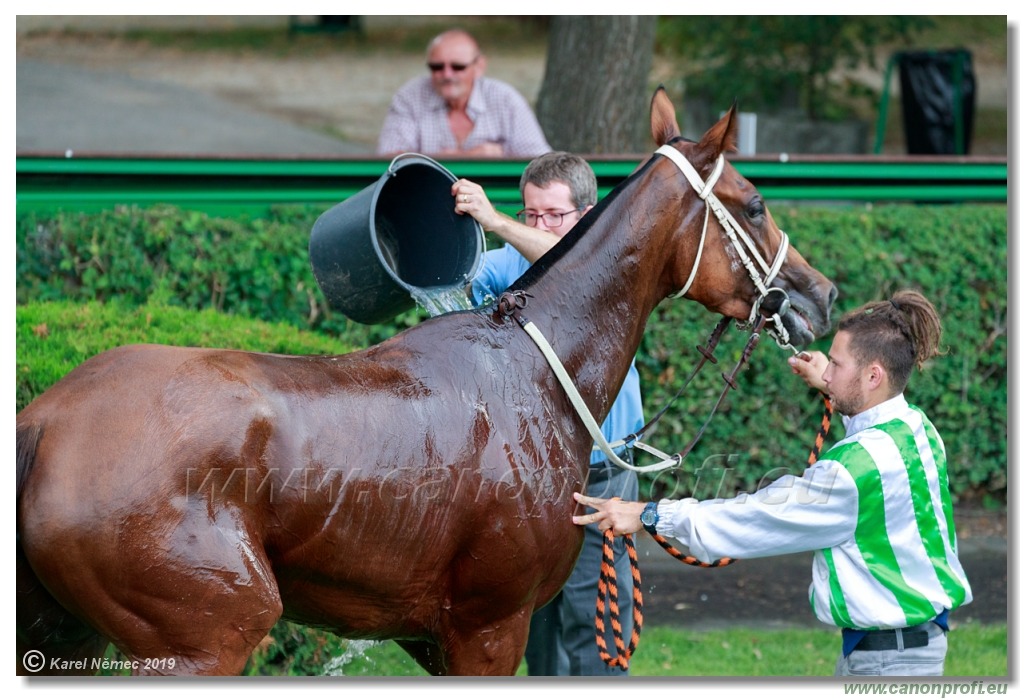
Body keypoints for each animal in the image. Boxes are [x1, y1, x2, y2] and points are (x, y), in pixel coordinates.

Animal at [16, 90, 835, 675]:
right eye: (757, 203)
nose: (821, 295)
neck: (538, 373)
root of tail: (46, 420)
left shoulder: (442, 638)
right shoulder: (488, 627)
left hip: (66, 635)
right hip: (211, 633)